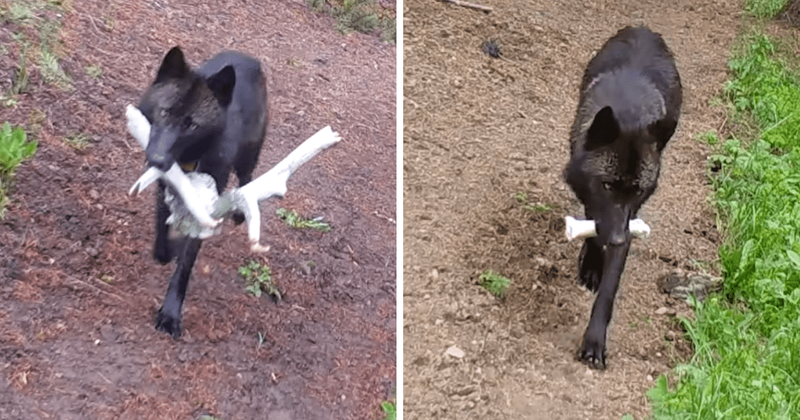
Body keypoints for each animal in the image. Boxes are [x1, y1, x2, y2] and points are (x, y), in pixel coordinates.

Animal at [136, 46, 268, 337]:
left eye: (192, 125)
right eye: (165, 112)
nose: (156, 160)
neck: (188, 161)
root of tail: (249, 59)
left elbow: (185, 264)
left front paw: (170, 315)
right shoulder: (163, 189)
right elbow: (161, 227)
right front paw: (165, 251)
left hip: (247, 157)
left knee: (247, 178)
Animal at [563, 26, 682, 369]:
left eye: (638, 190)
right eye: (606, 186)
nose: (616, 239)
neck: (630, 116)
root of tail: (643, 28)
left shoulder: (629, 218)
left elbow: (608, 290)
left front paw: (594, 341)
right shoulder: (595, 200)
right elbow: (593, 224)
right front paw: (591, 263)